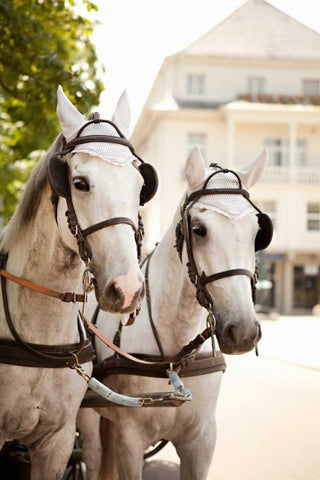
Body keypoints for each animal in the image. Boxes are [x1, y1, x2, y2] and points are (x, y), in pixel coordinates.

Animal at [79, 147, 272, 480]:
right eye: (199, 230)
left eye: (257, 233)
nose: (243, 331)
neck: (174, 359)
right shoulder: (130, 439)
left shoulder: (202, 441)